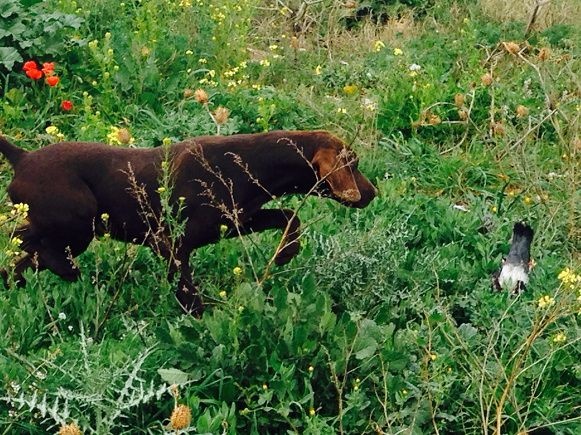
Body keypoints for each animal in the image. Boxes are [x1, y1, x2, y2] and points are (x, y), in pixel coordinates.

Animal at [0, 130, 376, 316]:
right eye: (354, 164)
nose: (373, 193)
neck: (251, 162)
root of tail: (22, 156)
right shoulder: (169, 242)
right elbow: (187, 290)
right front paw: (199, 320)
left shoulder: (236, 221)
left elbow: (288, 216)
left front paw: (286, 251)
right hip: (78, 221)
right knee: (42, 250)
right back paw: (64, 271)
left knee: (22, 249)